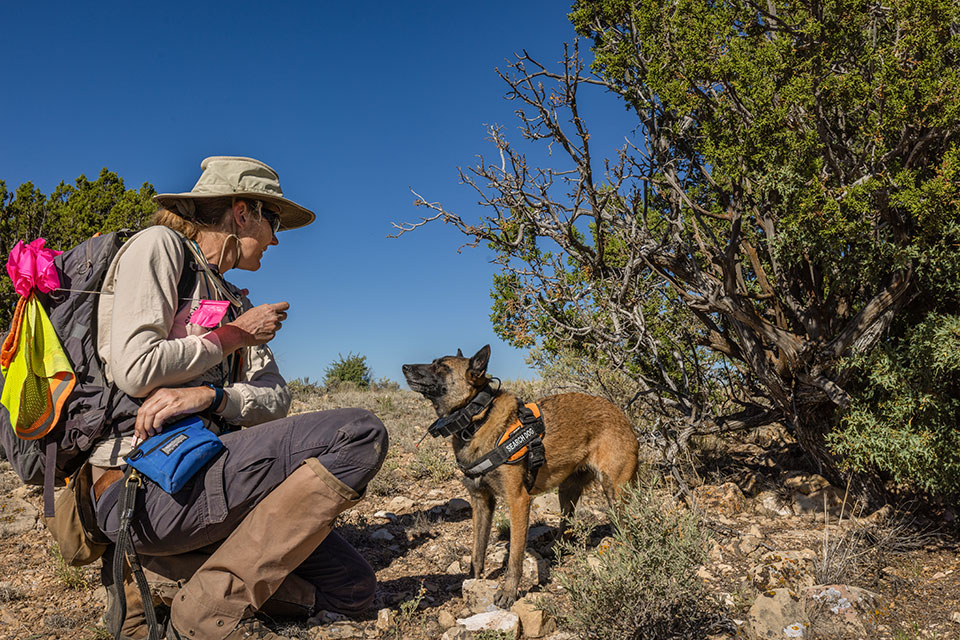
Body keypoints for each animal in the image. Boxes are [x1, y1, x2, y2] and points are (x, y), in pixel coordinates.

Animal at [402, 344, 640, 604]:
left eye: (442, 366)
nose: (405, 367)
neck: (478, 419)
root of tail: (621, 414)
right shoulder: (481, 501)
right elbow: (477, 551)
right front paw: (472, 579)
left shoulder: (518, 501)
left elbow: (515, 556)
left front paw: (508, 592)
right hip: (567, 491)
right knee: (566, 527)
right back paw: (554, 551)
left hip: (615, 492)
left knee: (626, 530)